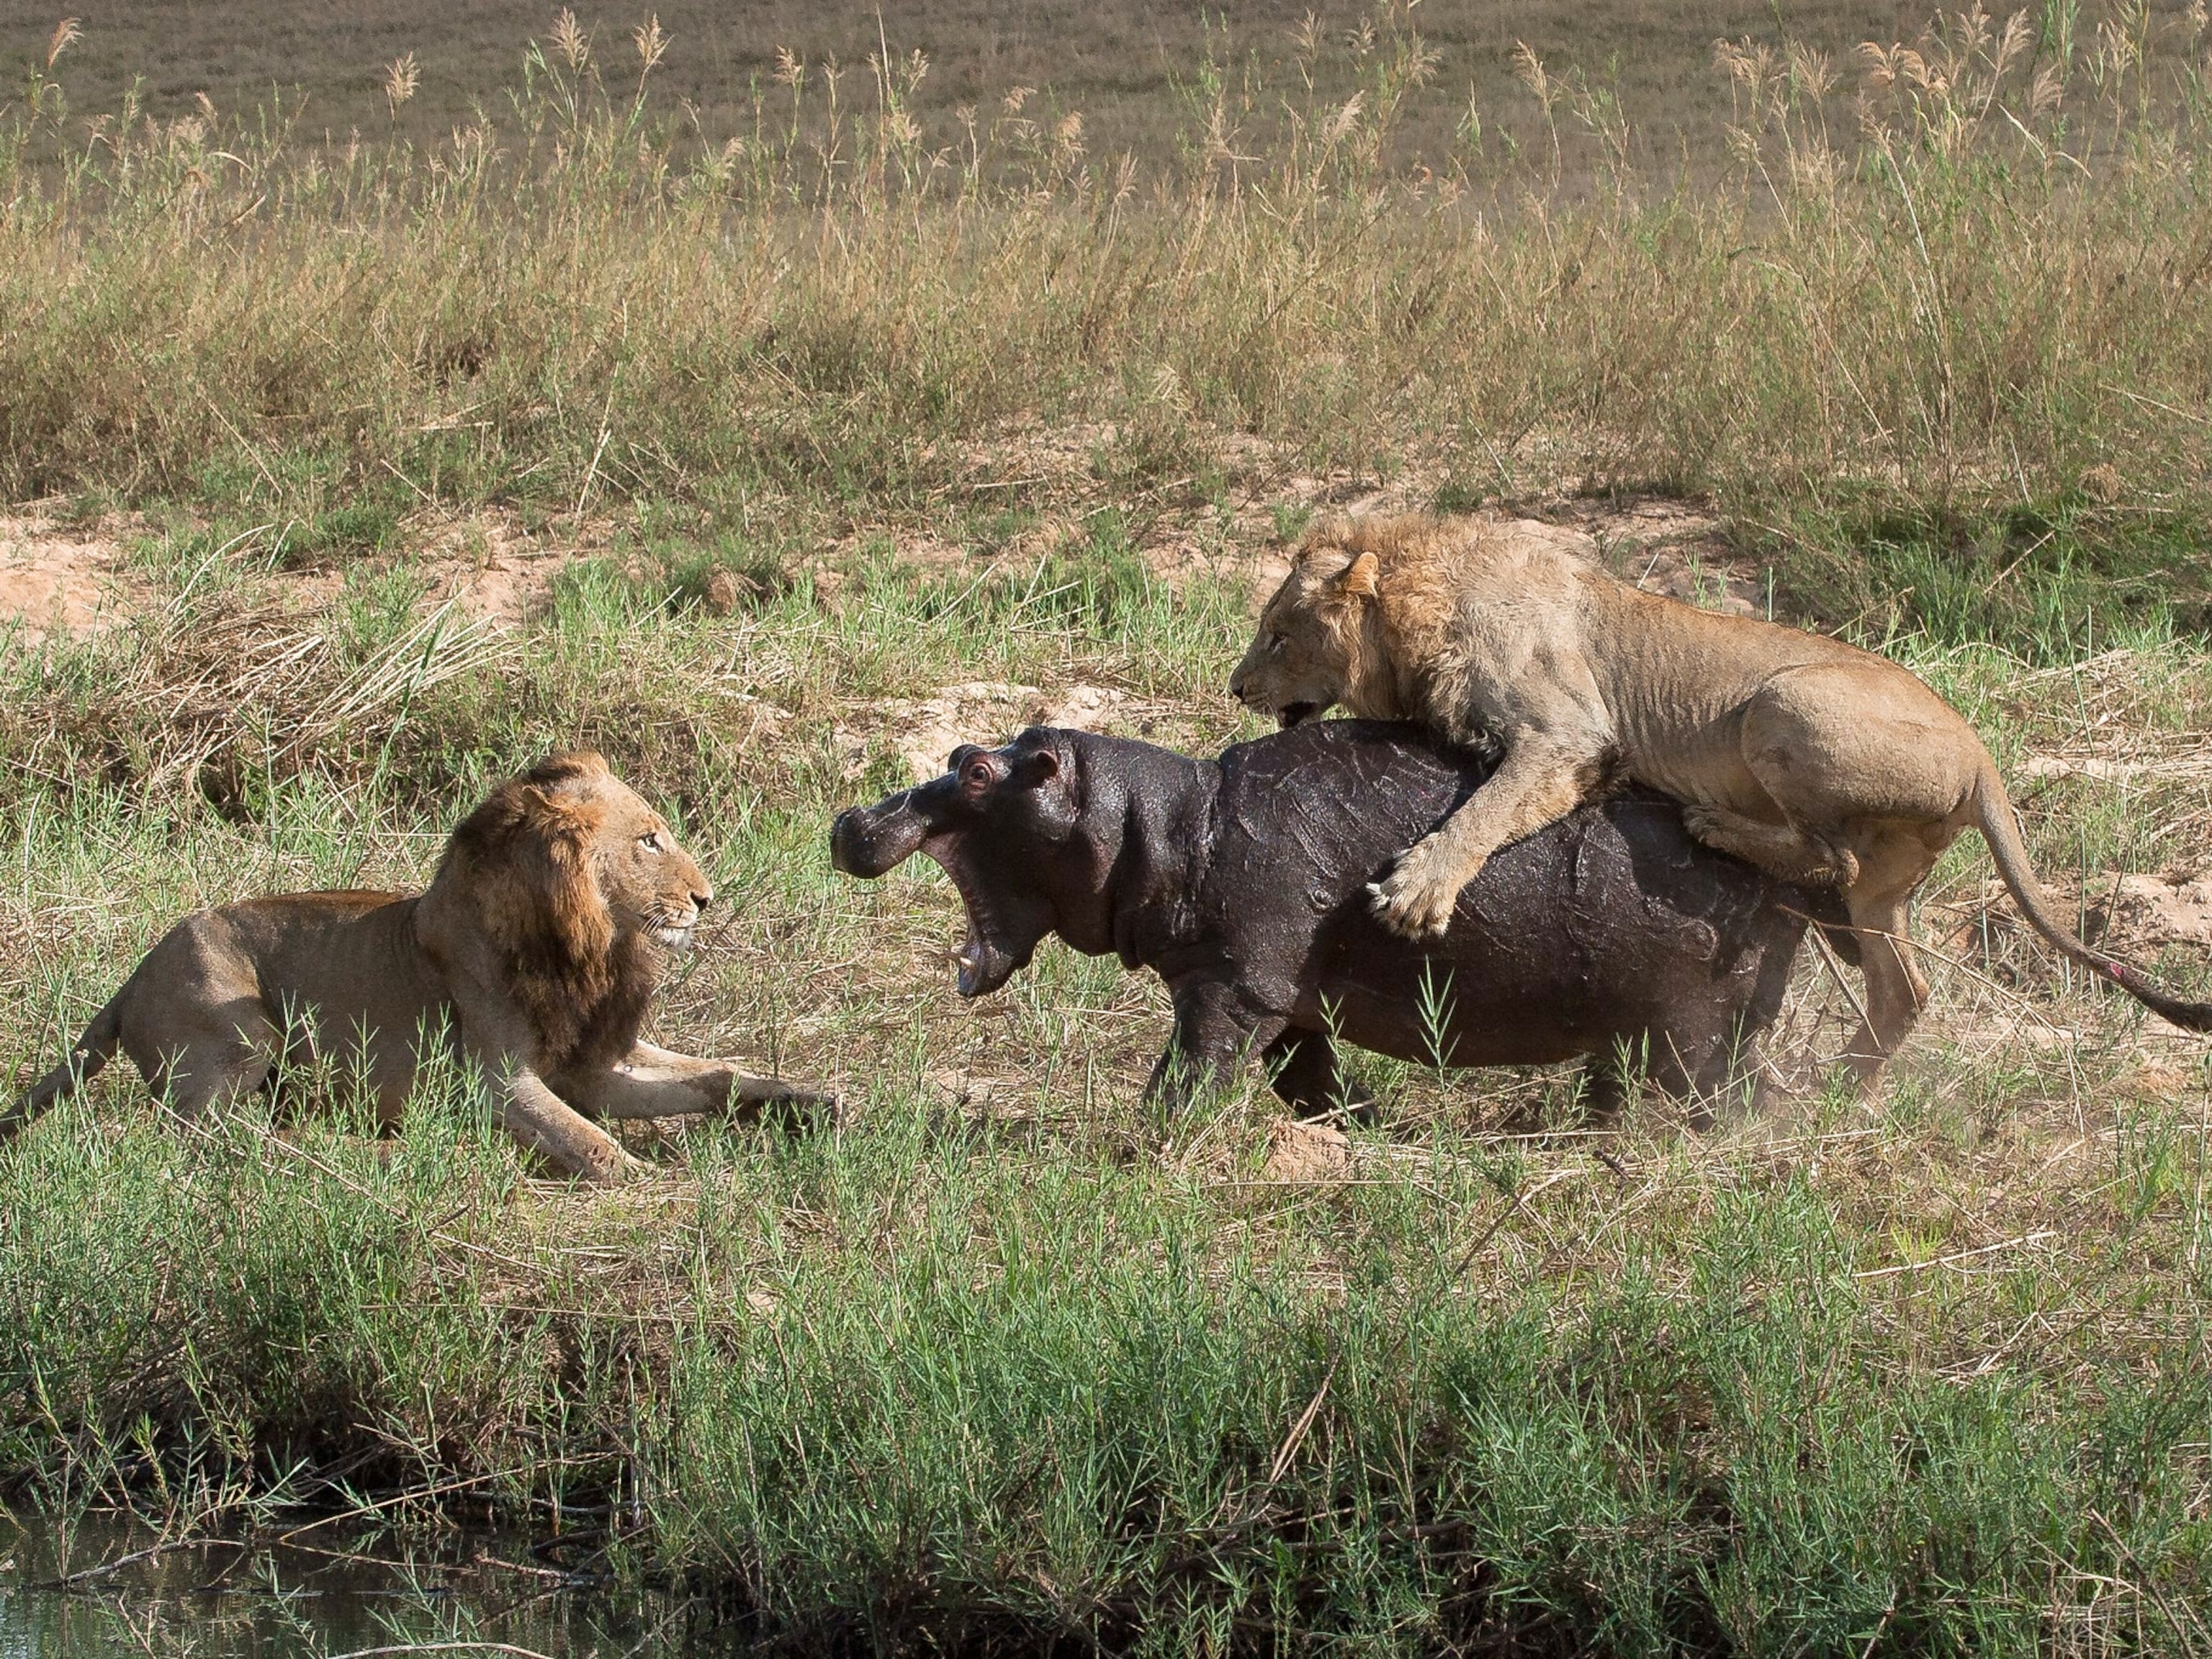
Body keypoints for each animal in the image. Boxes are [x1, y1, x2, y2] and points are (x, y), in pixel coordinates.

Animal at [2, 752, 832, 1185]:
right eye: (649, 840)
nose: (705, 897)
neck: (590, 947)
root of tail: (132, 979)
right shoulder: (495, 1079)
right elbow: (593, 1144)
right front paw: (665, 1184)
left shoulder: (592, 1062)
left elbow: (712, 1074)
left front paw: (801, 1100)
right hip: (238, 1022)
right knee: (203, 1134)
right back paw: (363, 1149)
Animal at [832, 725, 1849, 1123]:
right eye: (968, 749)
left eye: (974, 775)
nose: (850, 820)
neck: (1170, 824)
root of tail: (1805, 872)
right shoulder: (1281, 999)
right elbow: (1309, 1084)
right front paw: (1365, 1130)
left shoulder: (1232, 988)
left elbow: (1186, 1078)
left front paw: (1135, 1150)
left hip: (1689, 1028)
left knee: (1714, 1096)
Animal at [1230, 521, 2212, 1092]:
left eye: (1279, 633)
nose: (1237, 686)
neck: (1422, 596)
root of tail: (1981, 758)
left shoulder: (1569, 736)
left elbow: (1485, 810)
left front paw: (1418, 891)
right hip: (1884, 887)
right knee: (1903, 985)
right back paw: (1837, 1090)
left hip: (1782, 702)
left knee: (1828, 854)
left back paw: (1713, 825)